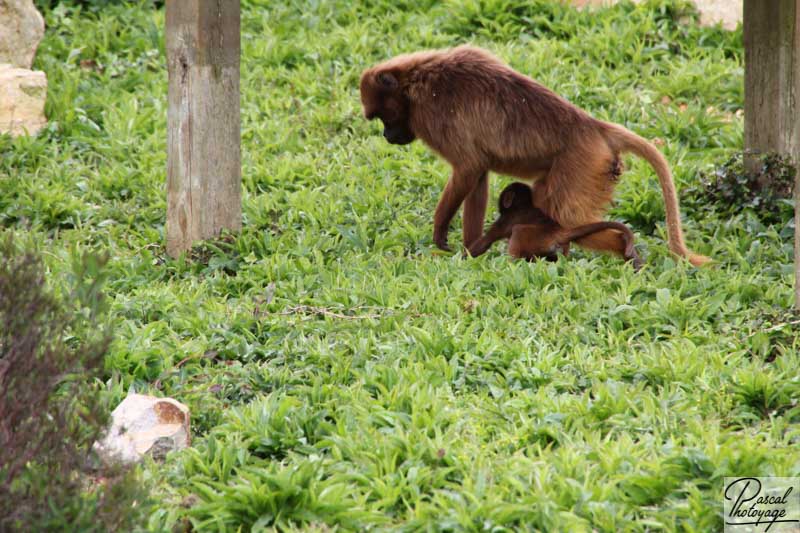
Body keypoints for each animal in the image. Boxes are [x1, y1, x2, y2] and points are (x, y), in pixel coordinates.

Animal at [468, 183, 644, 268]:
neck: (523, 205)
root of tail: (558, 233)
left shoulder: (506, 218)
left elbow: (485, 242)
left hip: (537, 239)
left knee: (519, 231)